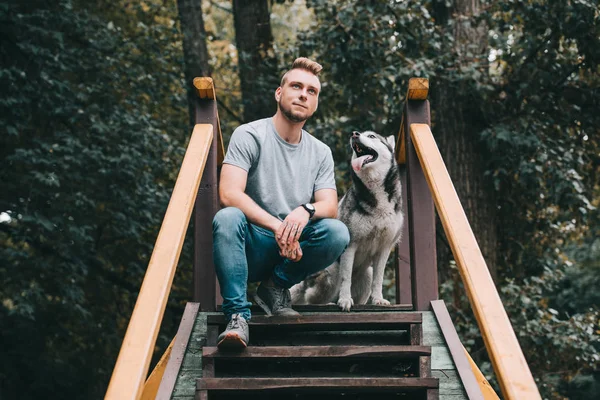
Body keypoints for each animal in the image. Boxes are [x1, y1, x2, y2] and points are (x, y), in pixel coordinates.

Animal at [290, 130, 404, 310]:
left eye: (371, 136)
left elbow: (379, 279)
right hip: (331, 273)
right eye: (360, 133)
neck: (376, 196)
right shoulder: (351, 245)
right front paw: (344, 300)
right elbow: (346, 277)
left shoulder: (385, 248)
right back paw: (329, 302)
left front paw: (378, 299)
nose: (354, 134)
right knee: (311, 298)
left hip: (367, 273)